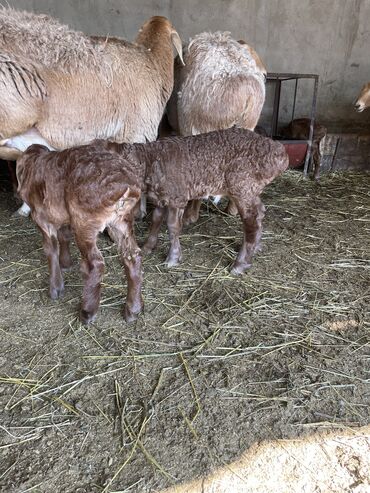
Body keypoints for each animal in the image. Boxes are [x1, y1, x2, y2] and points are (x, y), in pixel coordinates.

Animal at [15, 144, 144, 324]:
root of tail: (127, 189)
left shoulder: (41, 217)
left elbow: (50, 248)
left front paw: (56, 288)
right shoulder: (64, 217)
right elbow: (63, 237)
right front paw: (66, 263)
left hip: (85, 220)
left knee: (95, 264)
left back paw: (87, 312)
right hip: (121, 221)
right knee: (133, 257)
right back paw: (133, 310)